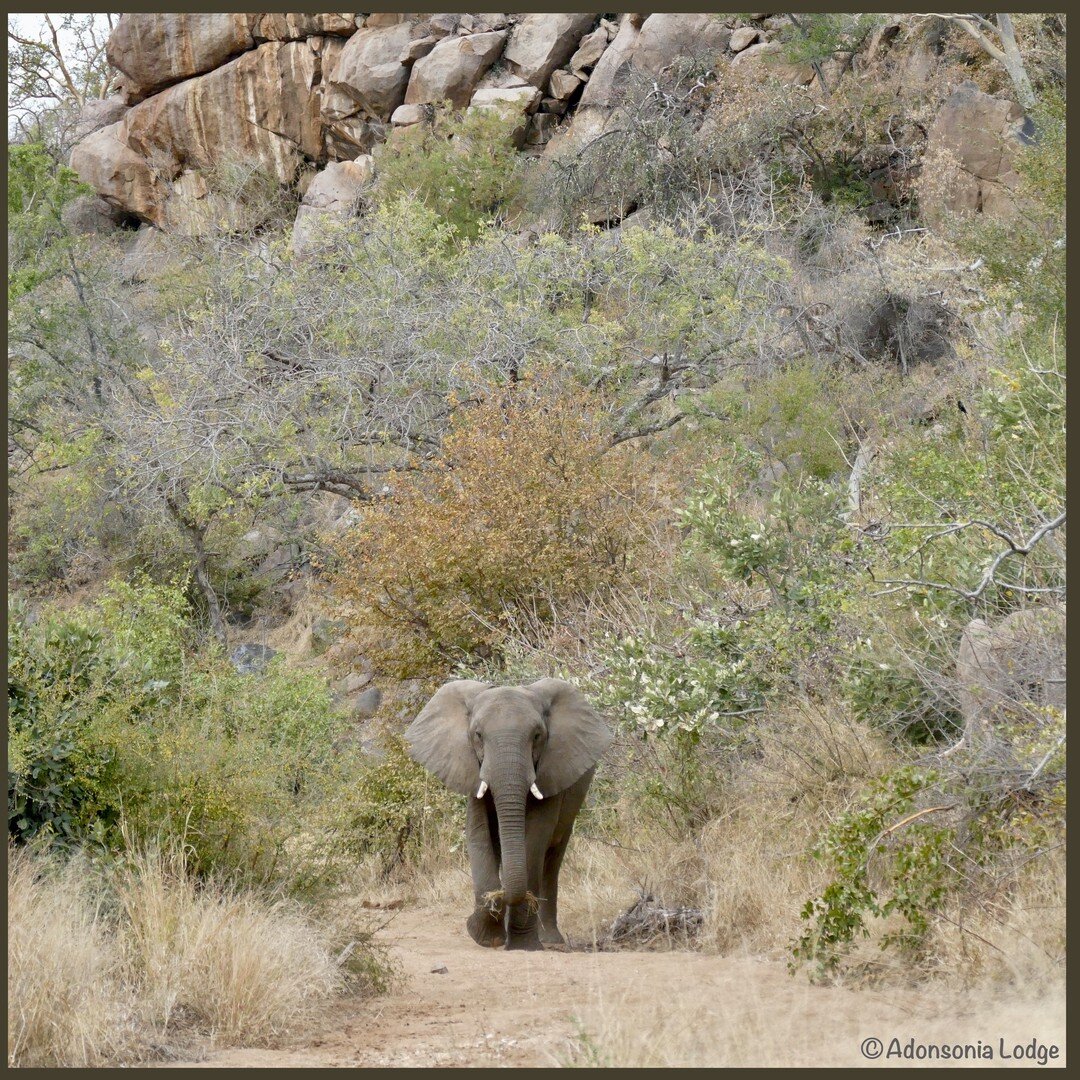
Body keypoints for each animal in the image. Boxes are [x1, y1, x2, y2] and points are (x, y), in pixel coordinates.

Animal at [406, 678, 613, 950]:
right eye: (478, 735)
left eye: (537, 736)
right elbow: (479, 833)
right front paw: (487, 935)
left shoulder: (550, 772)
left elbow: (534, 839)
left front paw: (522, 945)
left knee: (552, 857)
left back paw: (550, 940)